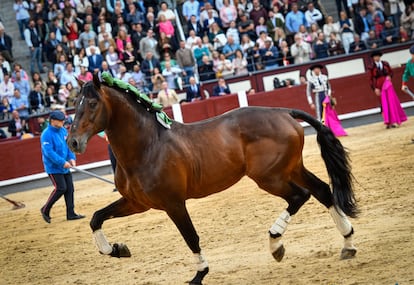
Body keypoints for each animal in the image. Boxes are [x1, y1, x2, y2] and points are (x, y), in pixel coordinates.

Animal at [68, 74, 360, 282]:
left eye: (92, 104)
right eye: (74, 105)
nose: (72, 142)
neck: (148, 146)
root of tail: (283, 112)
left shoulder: (174, 204)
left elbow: (191, 237)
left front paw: (200, 274)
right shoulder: (136, 203)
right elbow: (96, 218)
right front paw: (117, 249)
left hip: (270, 177)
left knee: (300, 196)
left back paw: (276, 244)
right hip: (290, 169)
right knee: (322, 191)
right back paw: (347, 244)